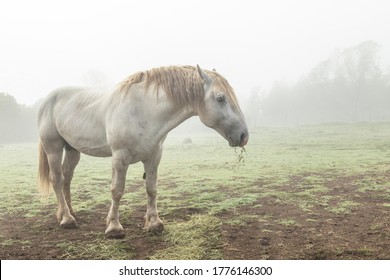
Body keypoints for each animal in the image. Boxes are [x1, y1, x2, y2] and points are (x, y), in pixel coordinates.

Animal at [38, 65, 248, 238]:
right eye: (220, 98)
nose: (243, 135)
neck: (144, 110)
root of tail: (48, 99)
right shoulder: (120, 157)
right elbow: (117, 190)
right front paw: (114, 227)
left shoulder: (153, 157)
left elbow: (151, 189)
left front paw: (154, 223)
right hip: (53, 148)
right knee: (57, 179)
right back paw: (67, 219)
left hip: (72, 149)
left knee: (67, 177)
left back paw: (68, 212)